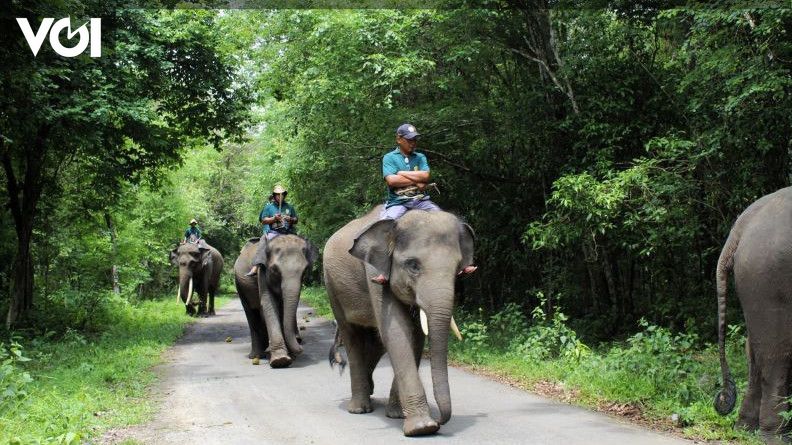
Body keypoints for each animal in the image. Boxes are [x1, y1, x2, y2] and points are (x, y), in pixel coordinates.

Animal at [235, 234, 318, 366]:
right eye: (274, 270)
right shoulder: (262, 271)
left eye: (304, 271)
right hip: (239, 284)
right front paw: (280, 360)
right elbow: (268, 303)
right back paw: (257, 355)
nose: (300, 347)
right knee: (251, 313)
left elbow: (283, 307)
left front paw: (289, 356)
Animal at [324, 206, 474, 436]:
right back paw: (359, 409)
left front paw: (397, 415)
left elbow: (415, 336)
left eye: (458, 268)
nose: (440, 420)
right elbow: (396, 332)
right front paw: (422, 427)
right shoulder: (376, 273)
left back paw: (370, 390)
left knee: (375, 341)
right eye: (413, 265)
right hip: (332, 287)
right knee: (352, 337)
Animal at [716, 185, 792, 440]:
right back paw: (775, 437)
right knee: (776, 354)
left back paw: (745, 428)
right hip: (768, 277)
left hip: (755, 278)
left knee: (754, 349)